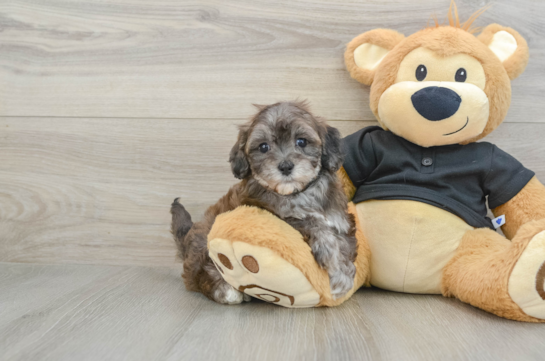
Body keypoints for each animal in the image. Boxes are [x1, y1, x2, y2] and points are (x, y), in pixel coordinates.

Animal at [171, 100, 356, 304]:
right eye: (264, 147)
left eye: (301, 141)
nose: (285, 166)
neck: (297, 194)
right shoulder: (272, 214)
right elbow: (310, 222)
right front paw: (334, 266)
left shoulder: (341, 222)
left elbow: (344, 245)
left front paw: (341, 275)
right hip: (204, 244)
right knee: (199, 275)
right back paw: (226, 290)